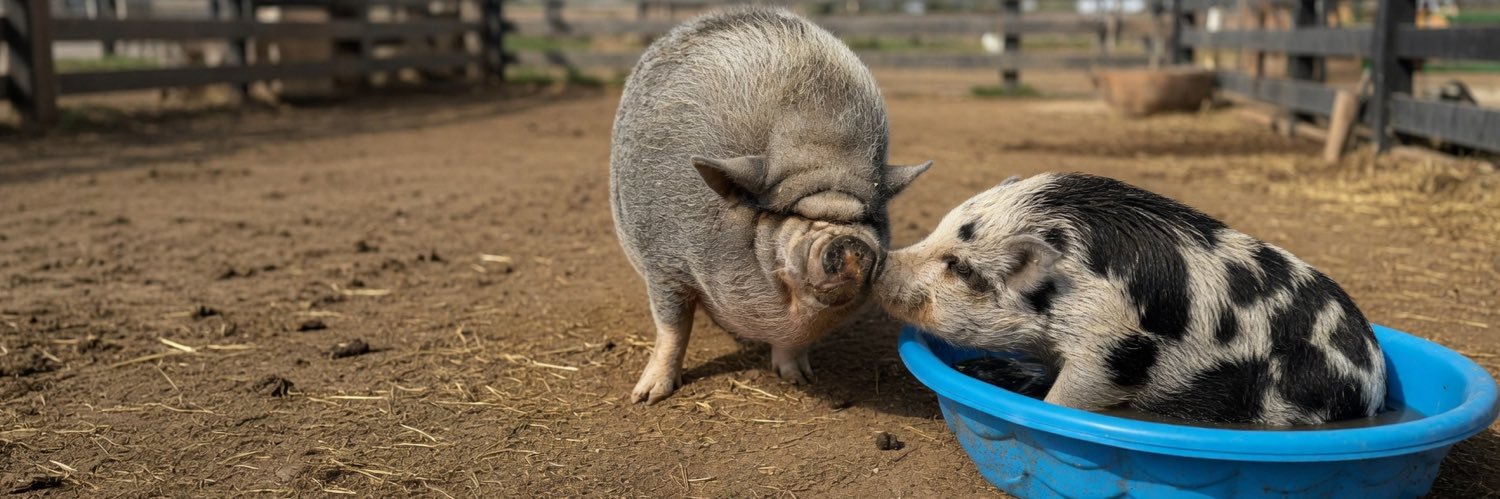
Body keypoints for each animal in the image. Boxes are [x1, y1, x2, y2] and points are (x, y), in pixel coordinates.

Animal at [610, 7, 931, 403]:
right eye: (792, 213)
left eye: (868, 217)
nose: (851, 243)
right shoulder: (663, 264)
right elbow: (673, 327)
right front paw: (647, 397)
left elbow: (792, 344)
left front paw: (799, 380)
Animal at [876, 173, 1385, 425]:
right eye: (937, 228)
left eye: (960, 267)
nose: (881, 262)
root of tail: (1375, 382)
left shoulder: (1114, 348)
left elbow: (1066, 399)